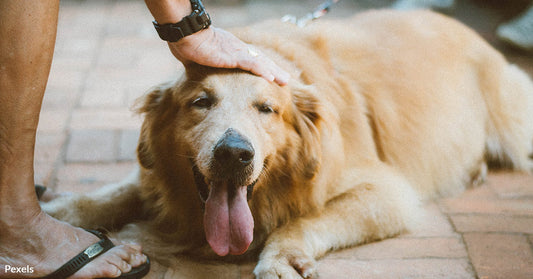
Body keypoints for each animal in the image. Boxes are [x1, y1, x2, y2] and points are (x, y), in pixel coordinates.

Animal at [43, 9, 528, 278]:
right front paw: (60, 212)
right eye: (201, 102)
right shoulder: (157, 175)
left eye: (267, 109)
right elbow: (117, 192)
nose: (234, 154)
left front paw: (283, 255)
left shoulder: (388, 193)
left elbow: (308, 219)